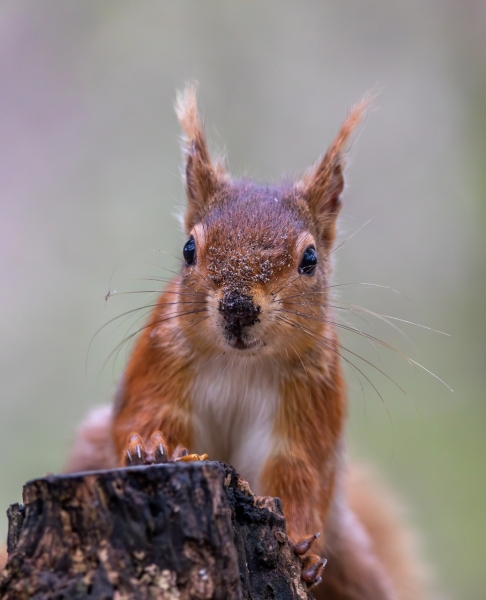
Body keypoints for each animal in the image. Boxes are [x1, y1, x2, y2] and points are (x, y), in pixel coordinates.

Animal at [65, 85, 430, 600]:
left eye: (310, 259)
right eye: (188, 249)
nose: (238, 308)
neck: (239, 363)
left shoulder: (310, 400)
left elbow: (299, 472)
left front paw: (302, 548)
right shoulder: (159, 363)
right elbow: (145, 415)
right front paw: (151, 449)